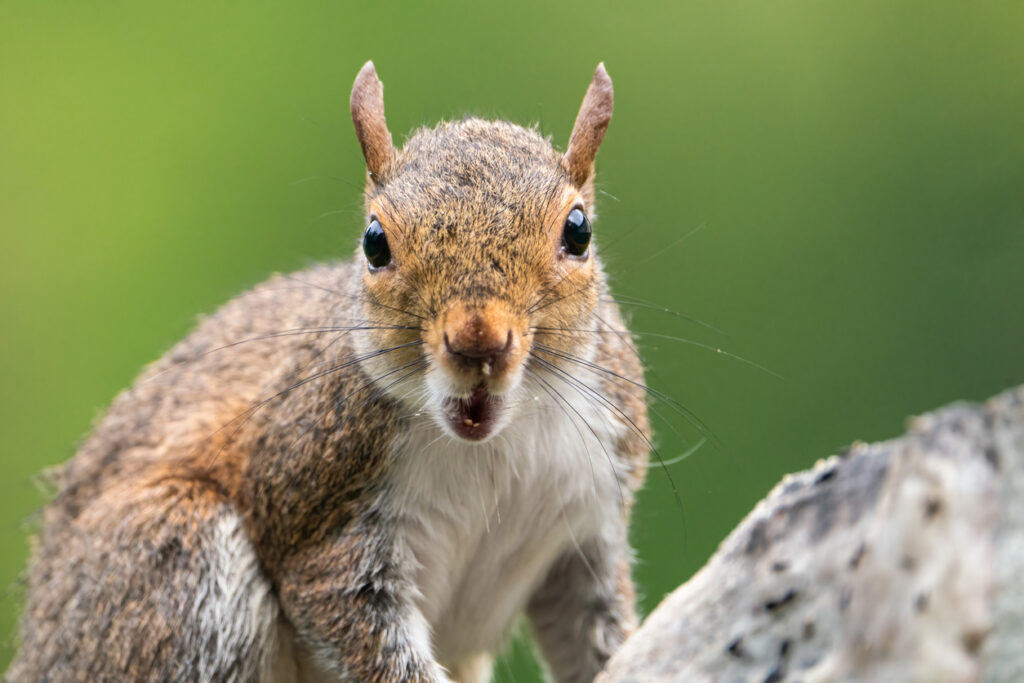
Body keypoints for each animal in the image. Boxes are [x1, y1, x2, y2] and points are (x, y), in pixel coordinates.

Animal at [12, 60, 647, 683]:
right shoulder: (322, 512)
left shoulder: (590, 527)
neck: (495, 445)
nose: (477, 341)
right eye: (374, 242)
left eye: (578, 231)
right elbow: (356, 621)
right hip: (177, 563)